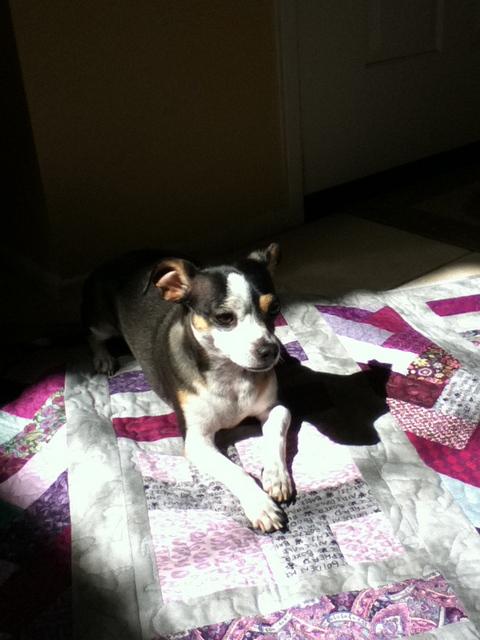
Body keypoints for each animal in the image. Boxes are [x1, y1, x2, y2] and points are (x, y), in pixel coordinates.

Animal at [82, 245, 290, 528]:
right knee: (92, 334)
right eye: (224, 317)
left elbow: (276, 431)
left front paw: (276, 476)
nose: (270, 350)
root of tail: (115, 260)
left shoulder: (273, 408)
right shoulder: (197, 441)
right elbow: (235, 471)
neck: (231, 375)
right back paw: (103, 358)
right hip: (104, 324)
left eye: (275, 307)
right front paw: (261, 505)